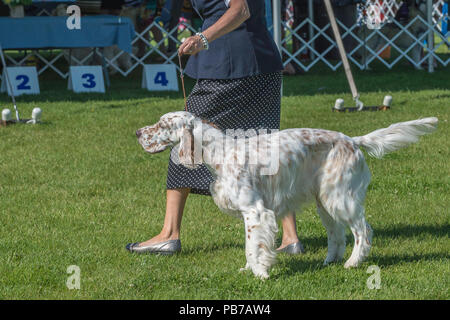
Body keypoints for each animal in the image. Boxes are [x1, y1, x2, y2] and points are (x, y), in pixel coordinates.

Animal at [135, 112, 438, 278]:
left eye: (161, 125)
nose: (137, 132)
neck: (220, 152)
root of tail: (353, 141)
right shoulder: (252, 214)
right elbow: (251, 246)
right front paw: (250, 270)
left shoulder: (255, 211)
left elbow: (252, 246)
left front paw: (260, 274)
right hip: (324, 202)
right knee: (337, 235)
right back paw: (329, 262)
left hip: (340, 198)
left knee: (363, 231)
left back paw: (352, 263)